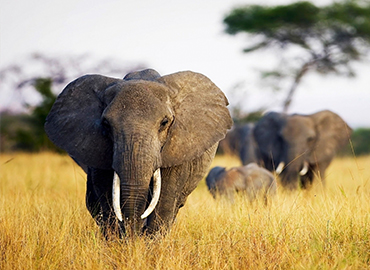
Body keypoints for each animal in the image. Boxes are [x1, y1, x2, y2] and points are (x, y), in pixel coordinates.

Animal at [44, 68, 233, 237]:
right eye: (106, 124)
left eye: (164, 122)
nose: (134, 236)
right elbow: (106, 196)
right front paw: (119, 245)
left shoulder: (179, 147)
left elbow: (165, 201)